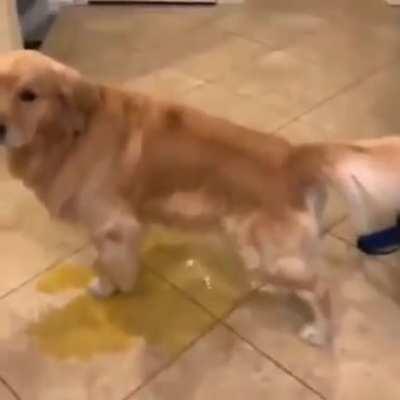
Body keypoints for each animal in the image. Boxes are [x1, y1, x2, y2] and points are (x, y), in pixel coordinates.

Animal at [1, 50, 399, 347]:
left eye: (29, 94)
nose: (0, 128)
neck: (70, 134)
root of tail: (292, 155)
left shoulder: (113, 225)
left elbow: (108, 263)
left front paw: (108, 287)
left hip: (268, 256)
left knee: (320, 288)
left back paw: (319, 333)